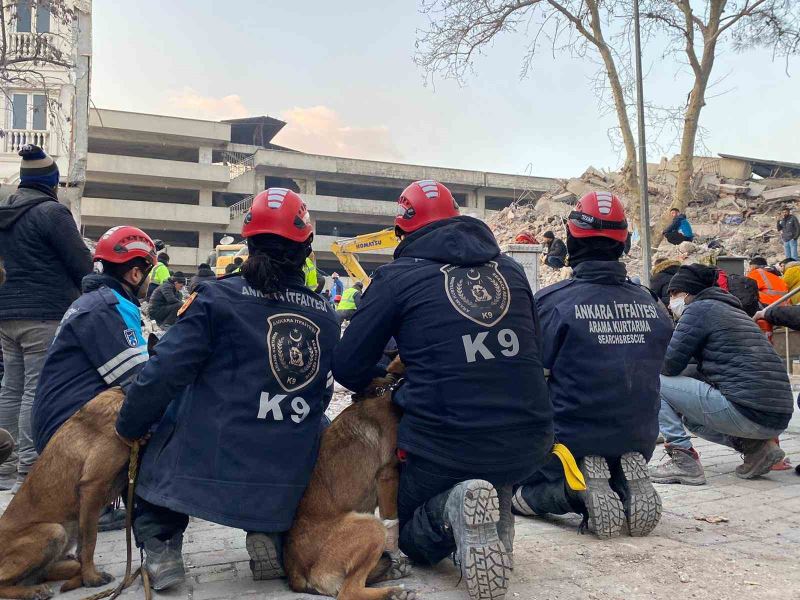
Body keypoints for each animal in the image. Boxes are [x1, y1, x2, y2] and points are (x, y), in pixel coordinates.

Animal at [0, 386, 131, 596]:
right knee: (4, 582)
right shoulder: (92, 487)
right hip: (55, 530)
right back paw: (33, 591)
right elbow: (89, 542)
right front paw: (91, 578)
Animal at [284, 358, 416, 600]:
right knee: (349, 591)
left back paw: (392, 573)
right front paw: (396, 554)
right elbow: (392, 522)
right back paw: (394, 591)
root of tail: (295, 573)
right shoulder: (388, 476)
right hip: (371, 527)